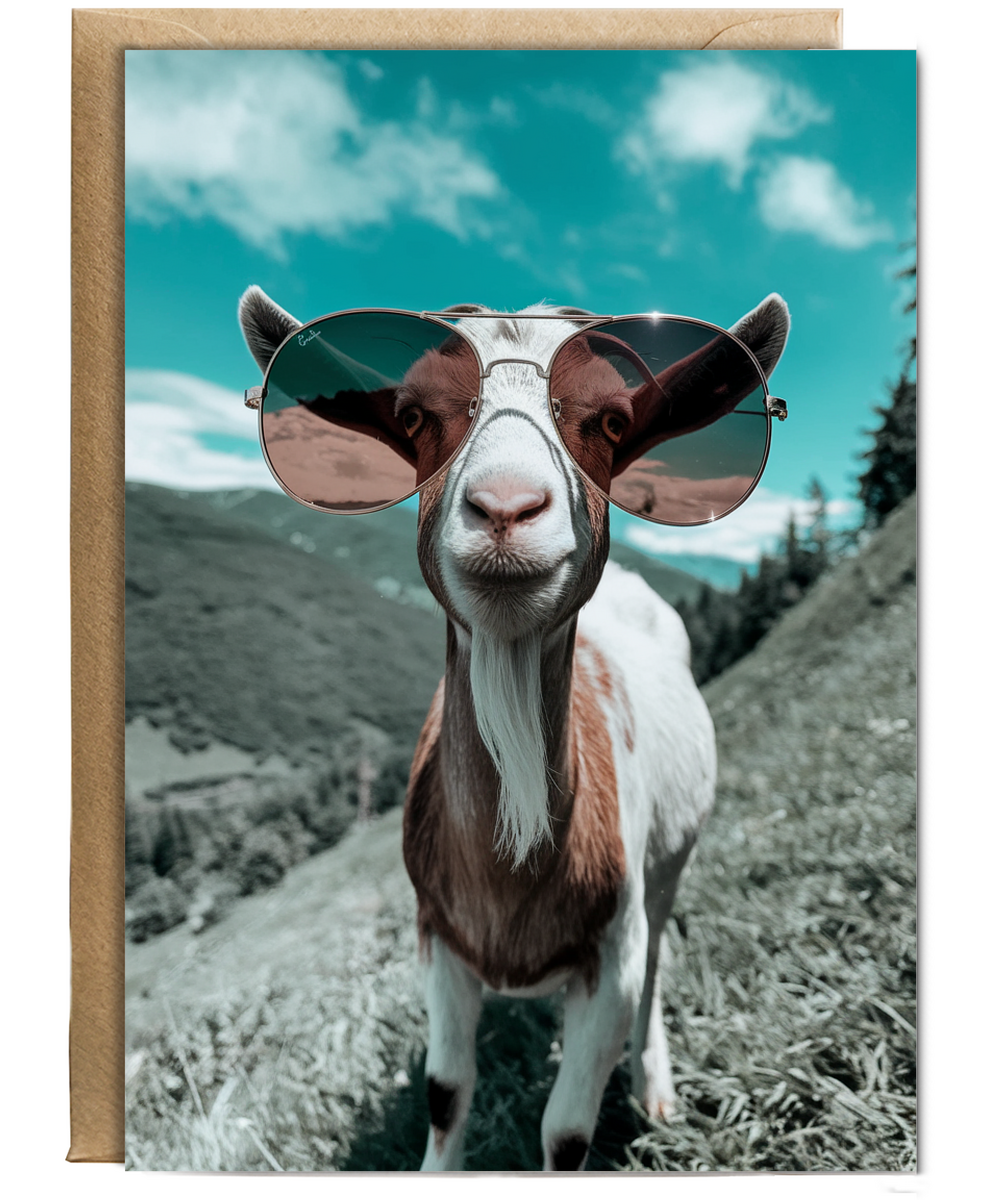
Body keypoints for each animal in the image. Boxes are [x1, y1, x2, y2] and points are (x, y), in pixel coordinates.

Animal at [239, 292, 789, 1171]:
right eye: (413, 414)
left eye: (611, 420)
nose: (505, 508)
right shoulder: (437, 938)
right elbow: (445, 1089)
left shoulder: (611, 951)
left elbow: (566, 1129)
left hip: (672, 862)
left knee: (661, 960)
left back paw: (654, 1086)